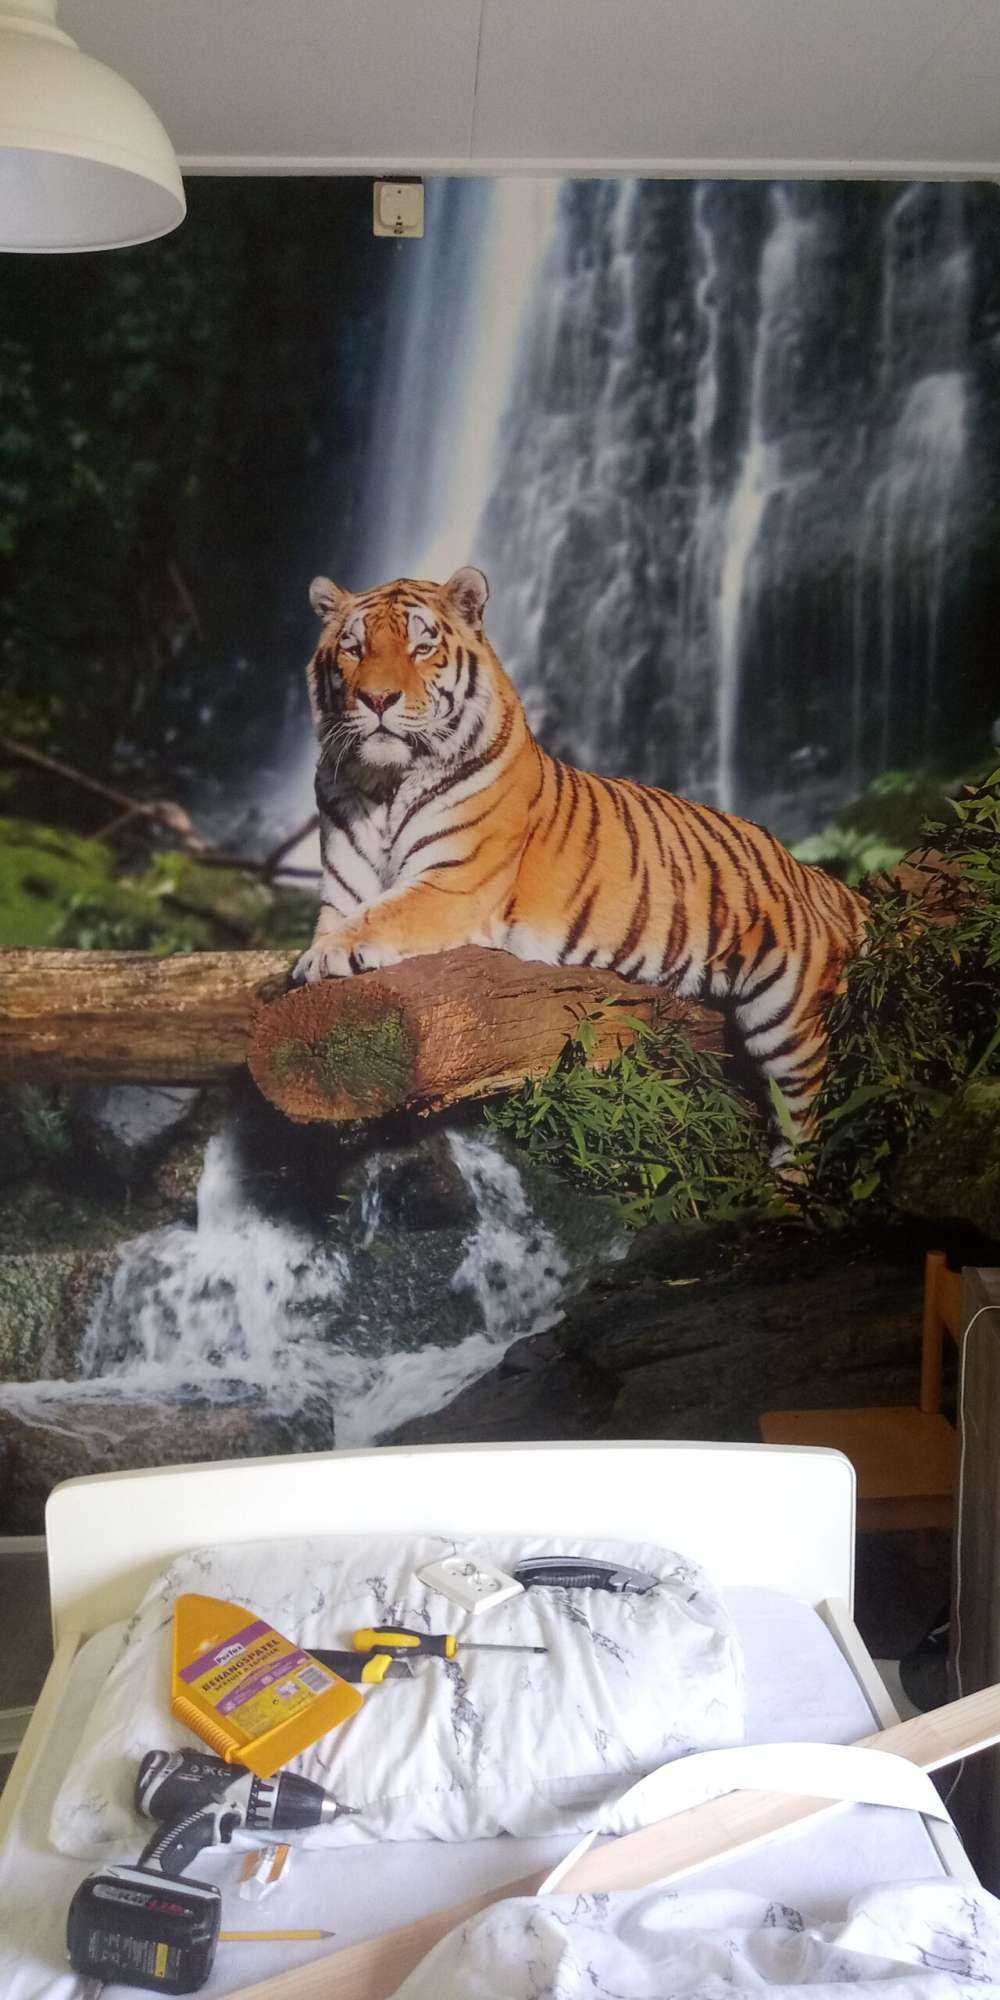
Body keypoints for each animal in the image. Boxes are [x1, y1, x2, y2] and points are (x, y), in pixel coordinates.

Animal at [294, 566, 868, 1161]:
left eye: (421, 646)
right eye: (354, 649)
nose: (377, 698)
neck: (383, 784)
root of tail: (815, 875)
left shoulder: (453, 883)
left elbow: (381, 915)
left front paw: (321, 959)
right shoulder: (343, 890)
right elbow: (350, 915)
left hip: (786, 1012)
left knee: (804, 1120)